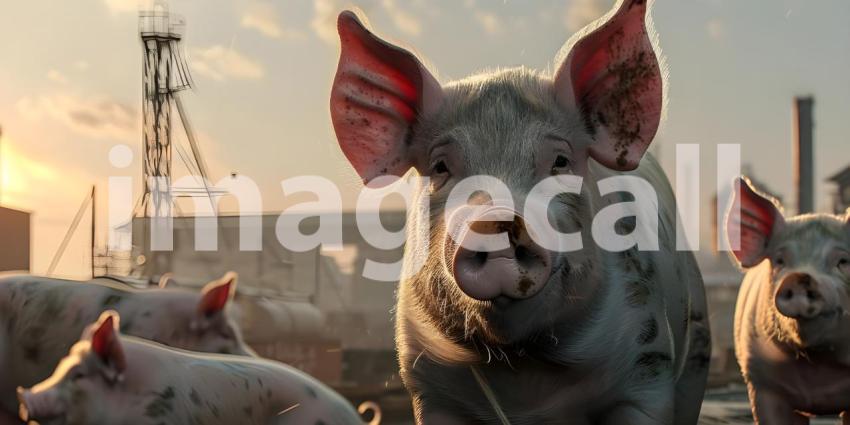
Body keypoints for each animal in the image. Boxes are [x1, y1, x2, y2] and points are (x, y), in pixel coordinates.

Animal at [329, 0, 710, 423]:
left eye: (560, 161)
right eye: (441, 167)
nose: (494, 219)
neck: (524, 372)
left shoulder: (647, 368)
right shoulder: (428, 386)